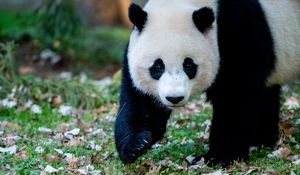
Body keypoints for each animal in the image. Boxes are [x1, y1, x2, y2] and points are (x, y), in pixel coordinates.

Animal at [114, 0, 300, 165]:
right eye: (158, 66)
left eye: (188, 64)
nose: (174, 98)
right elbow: (140, 102)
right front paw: (137, 145)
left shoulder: (239, 33)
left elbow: (236, 98)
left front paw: (219, 157)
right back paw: (261, 138)